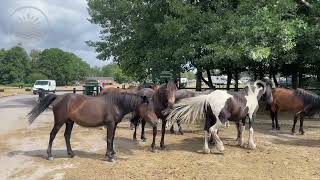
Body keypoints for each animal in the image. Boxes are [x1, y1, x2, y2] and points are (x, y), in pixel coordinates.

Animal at [27, 93, 158, 162]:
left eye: (153, 107)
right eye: (148, 108)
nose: (156, 122)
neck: (116, 104)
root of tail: (58, 97)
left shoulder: (114, 125)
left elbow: (112, 138)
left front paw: (111, 153)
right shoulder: (110, 124)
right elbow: (109, 139)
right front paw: (110, 157)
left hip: (70, 122)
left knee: (67, 136)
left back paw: (71, 153)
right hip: (59, 122)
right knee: (52, 135)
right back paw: (50, 155)